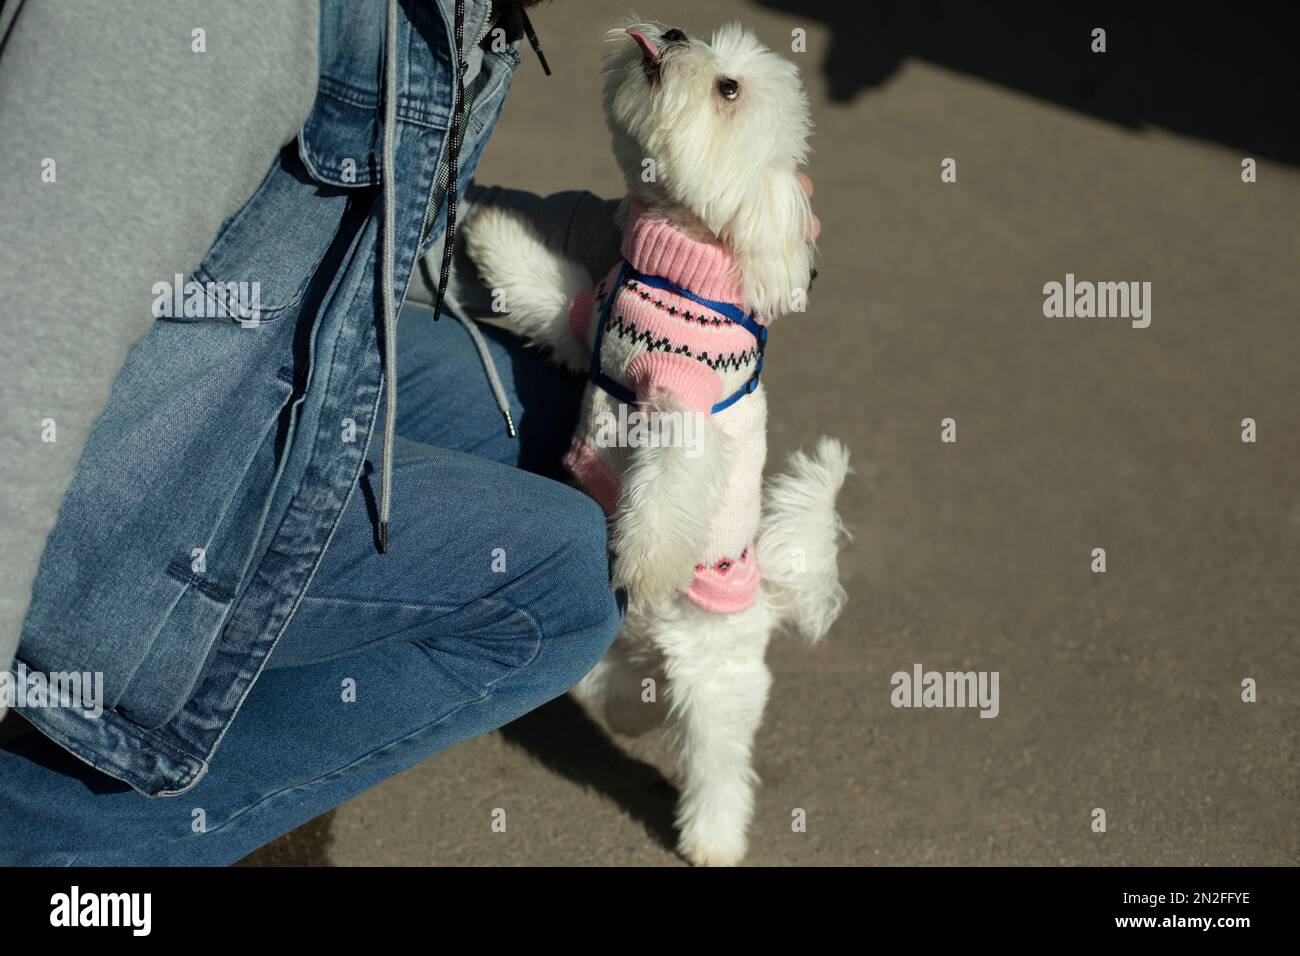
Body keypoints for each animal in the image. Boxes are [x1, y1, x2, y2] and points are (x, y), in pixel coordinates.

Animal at [467, 16, 852, 868]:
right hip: (607, 667)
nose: (670, 31)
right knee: (626, 700)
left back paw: (712, 838)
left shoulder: (685, 415)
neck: (673, 268)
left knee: (719, 765)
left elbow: (664, 493)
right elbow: (544, 283)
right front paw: (484, 227)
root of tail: (765, 602)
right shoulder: (586, 312)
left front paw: (642, 557)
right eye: (702, 39)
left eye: (728, 88)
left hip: (720, 690)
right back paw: (637, 709)